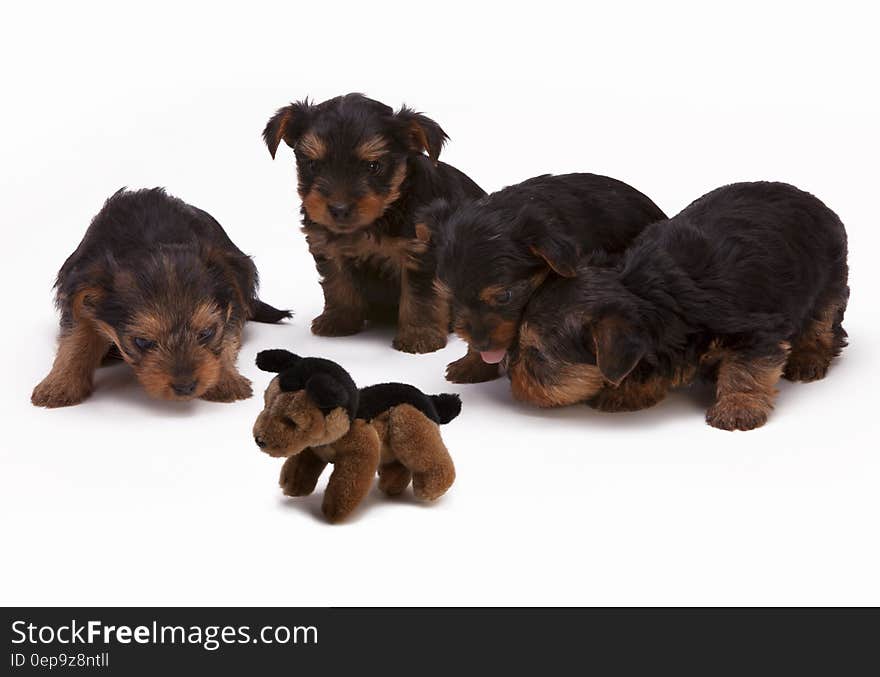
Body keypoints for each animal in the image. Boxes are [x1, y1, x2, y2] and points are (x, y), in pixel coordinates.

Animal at [264, 92, 484, 354]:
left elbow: (421, 295)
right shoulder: (328, 246)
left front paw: (419, 336)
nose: (339, 209)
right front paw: (339, 320)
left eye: (373, 166)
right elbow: (337, 283)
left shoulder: (421, 252)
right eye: (313, 165)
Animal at [506, 182, 848, 430]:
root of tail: (811, 198)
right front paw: (628, 391)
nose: (508, 369)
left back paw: (809, 357)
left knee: (823, 322)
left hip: (830, 277)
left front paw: (738, 407)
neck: (646, 290)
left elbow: (746, 369)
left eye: (536, 355)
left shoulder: (756, 331)